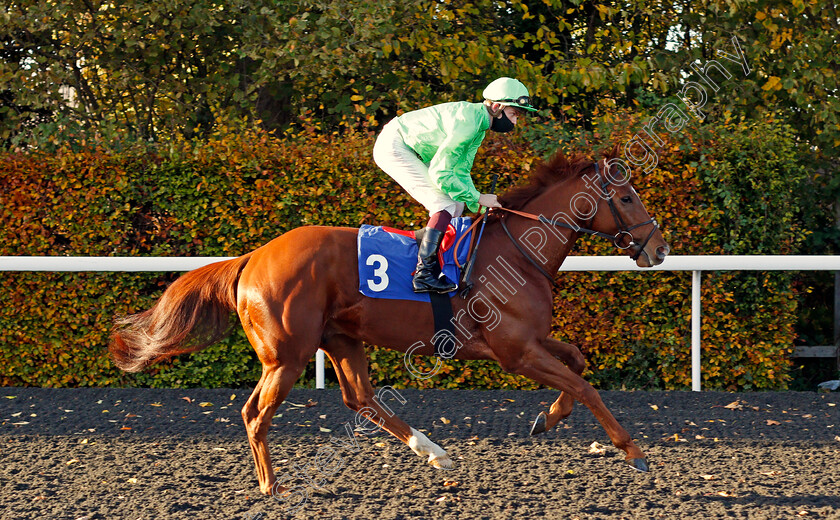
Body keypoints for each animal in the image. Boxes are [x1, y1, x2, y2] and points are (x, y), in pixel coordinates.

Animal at [108, 147, 668, 496]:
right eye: (625, 197)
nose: (659, 249)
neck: (518, 252)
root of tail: (252, 257)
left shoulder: (529, 340)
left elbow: (578, 361)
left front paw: (547, 418)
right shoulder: (515, 351)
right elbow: (584, 383)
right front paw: (633, 450)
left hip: (341, 339)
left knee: (361, 399)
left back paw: (434, 452)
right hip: (287, 355)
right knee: (255, 413)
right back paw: (272, 484)